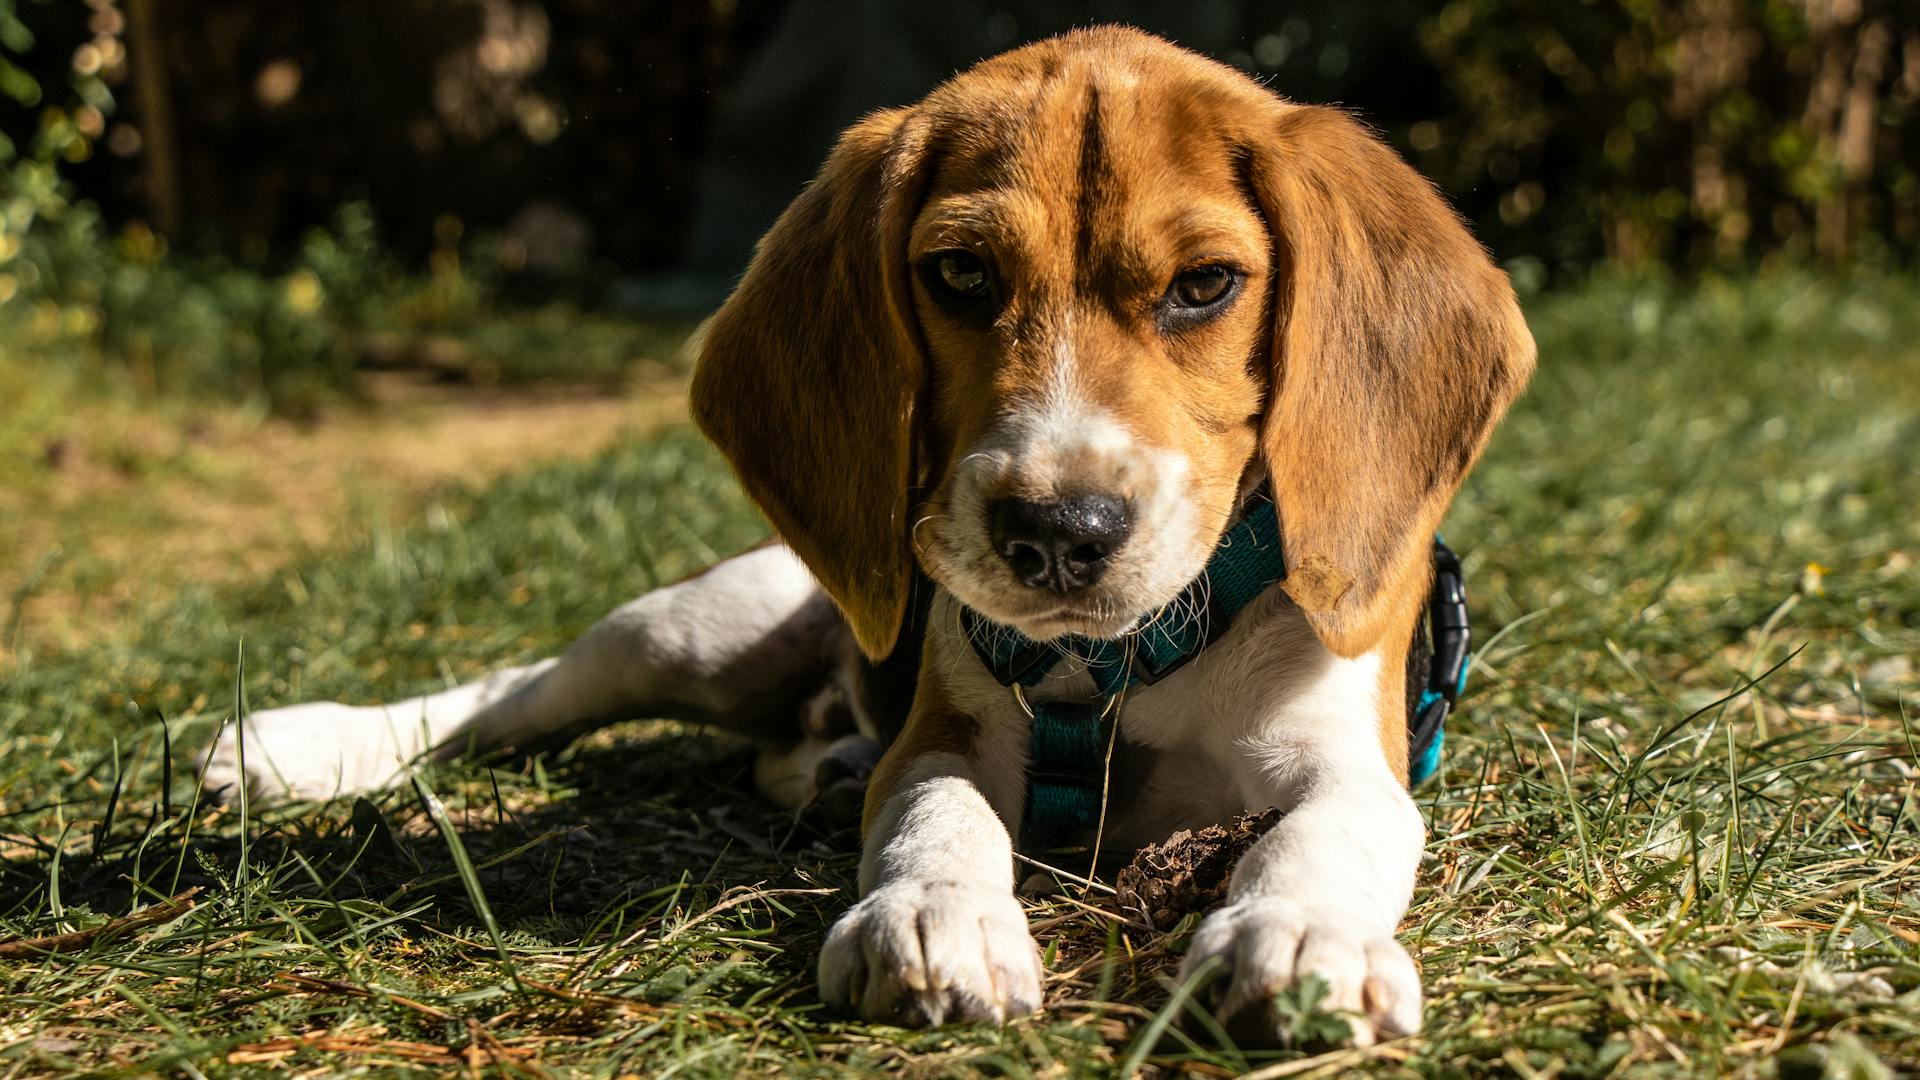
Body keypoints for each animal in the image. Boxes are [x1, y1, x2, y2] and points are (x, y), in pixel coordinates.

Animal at [206, 29, 1528, 1045]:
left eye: (1205, 286)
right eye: (959, 275)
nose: (1057, 533)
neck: (1125, 657)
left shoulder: (1349, 753)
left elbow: (1323, 833)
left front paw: (1297, 937)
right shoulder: (947, 730)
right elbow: (937, 814)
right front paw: (936, 918)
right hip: (695, 628)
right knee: (511, 694)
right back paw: (297, 748)